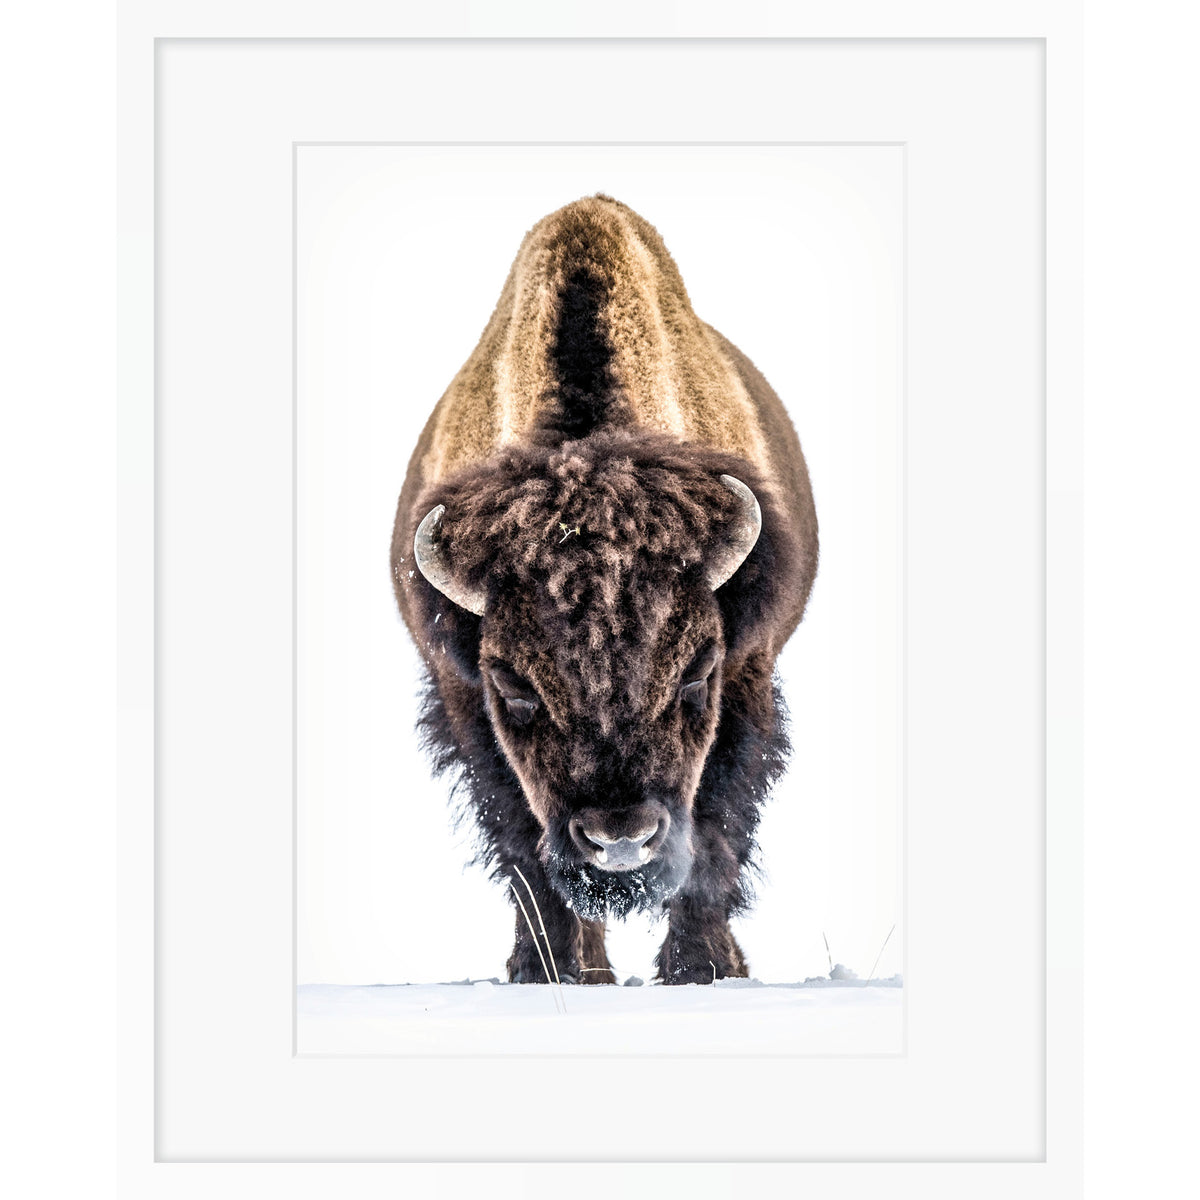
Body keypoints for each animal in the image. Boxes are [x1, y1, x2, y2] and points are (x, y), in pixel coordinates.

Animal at [391, 195, 818, 984]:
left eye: (697, 674)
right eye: (514, 686)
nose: (620, 839)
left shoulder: (749, 673)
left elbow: (715, 831)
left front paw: (699, 969)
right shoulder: (462, 698)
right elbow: (525, 849)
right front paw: (548, 972)